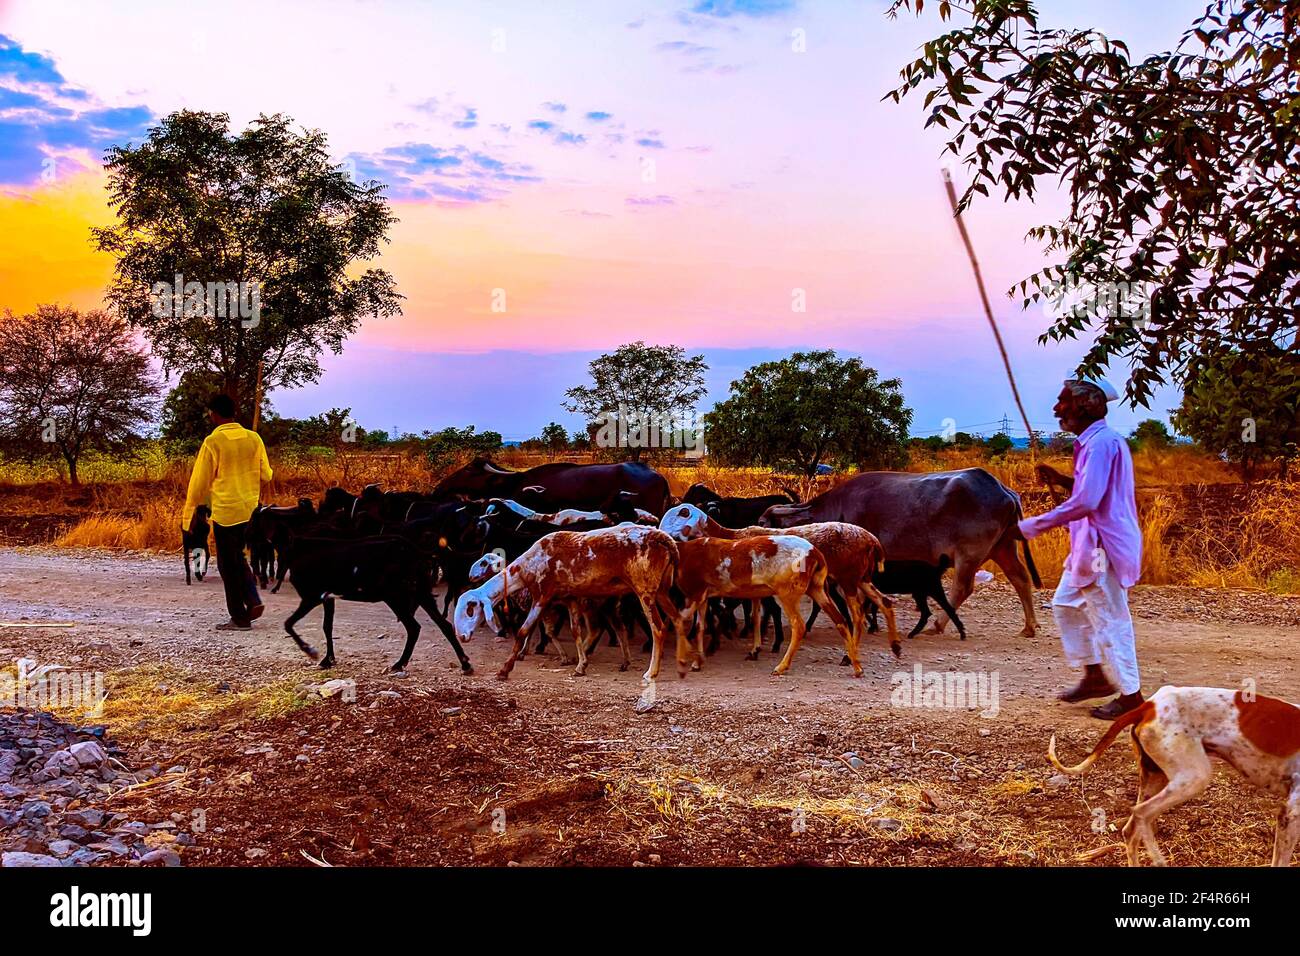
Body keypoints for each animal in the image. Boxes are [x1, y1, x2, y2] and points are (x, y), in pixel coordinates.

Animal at [1045, 686, 1300, 868]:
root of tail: (1149, 705)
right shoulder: (1289, 813)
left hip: (1156, 779)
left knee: (1130, 829)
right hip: (1193, 777)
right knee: (1141, 814)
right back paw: (1159, 861)